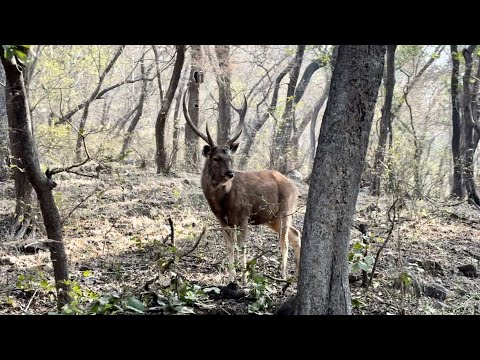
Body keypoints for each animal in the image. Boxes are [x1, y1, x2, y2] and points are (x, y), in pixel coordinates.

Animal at [183, 90, 300, 284]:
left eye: (230, 157)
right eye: (216, 158)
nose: (230, 173)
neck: (223, 202)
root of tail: (296, 188)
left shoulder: (244, 215)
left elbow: (243, 245)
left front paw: (244, 279)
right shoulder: (222, 220)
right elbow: (230, 247)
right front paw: (231, 278)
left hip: (286, 209)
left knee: (284, 240)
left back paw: (283, 275)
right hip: (272, 217)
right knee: (295, 233)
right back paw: (296, 273)